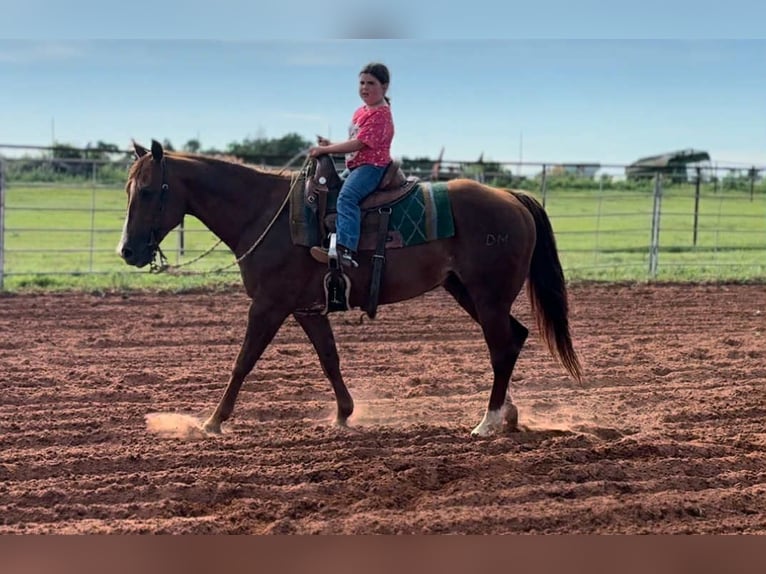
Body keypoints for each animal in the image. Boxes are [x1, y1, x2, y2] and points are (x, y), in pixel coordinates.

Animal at [117, 140, 582, 437]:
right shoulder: (306, 308)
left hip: (488, 296)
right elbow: (329, 359)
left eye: (147, 190)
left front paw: (212, 422)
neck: (266, 213)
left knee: (501, 347)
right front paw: (344, 415)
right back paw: (508, 416)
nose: (127, 251)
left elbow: (243, 361)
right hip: (468, 291)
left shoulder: (269, 305)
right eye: (128, 189)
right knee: (515, 338)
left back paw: (486, 422)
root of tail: (511, 197)